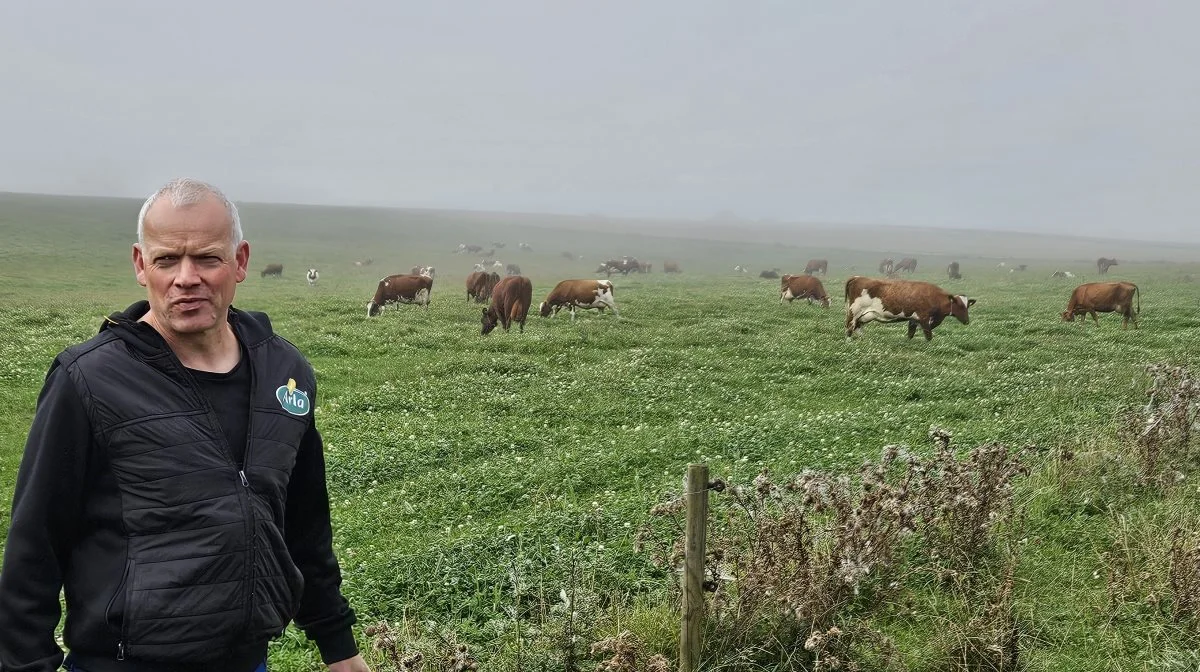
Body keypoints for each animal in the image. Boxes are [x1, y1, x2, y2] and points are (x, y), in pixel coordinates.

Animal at [844, 276, 974, 340]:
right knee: (850, 327)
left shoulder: (914, 320)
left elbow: (910, 334)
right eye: (960, 305)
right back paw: (849, 342)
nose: (967, 321)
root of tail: (858, 277)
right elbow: (928, 336)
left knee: (858, 328)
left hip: (864, 315)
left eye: (967, 306)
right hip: (854, 311)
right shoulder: (924, 319)